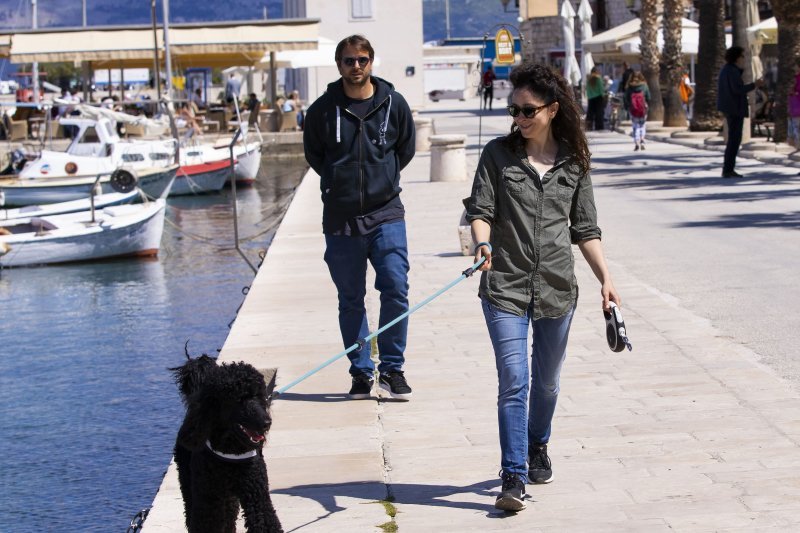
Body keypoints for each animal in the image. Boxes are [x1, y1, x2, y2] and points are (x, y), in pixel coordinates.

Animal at [170, 350, 282, 532]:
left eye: (259, 396)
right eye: (239, 399)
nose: (266, 423)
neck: (230, 450)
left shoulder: (257, 494)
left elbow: (265, 521)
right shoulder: (208, 499)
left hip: (228, 499)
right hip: (190, 484)